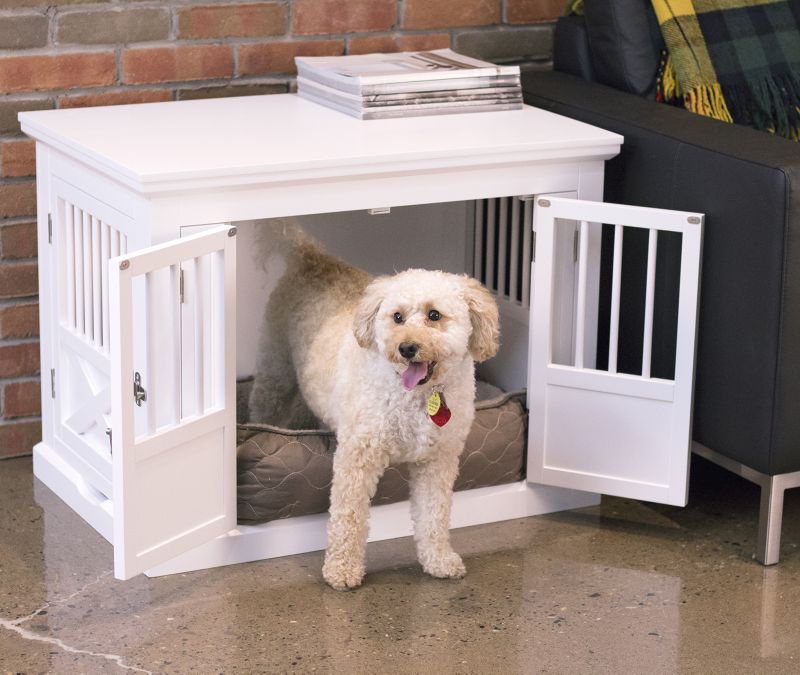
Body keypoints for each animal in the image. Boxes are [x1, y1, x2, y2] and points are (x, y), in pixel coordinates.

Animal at [250, 223, 500, 592]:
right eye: (397, 317)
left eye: (434, 315)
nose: (407, 347)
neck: (416, 397)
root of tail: (311, 255)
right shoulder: (357, 458)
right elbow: (348, 518)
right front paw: (341, 570)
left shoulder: (437, 461)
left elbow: (434, 515)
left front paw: (439, 560)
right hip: (274, 370)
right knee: (263, 403)